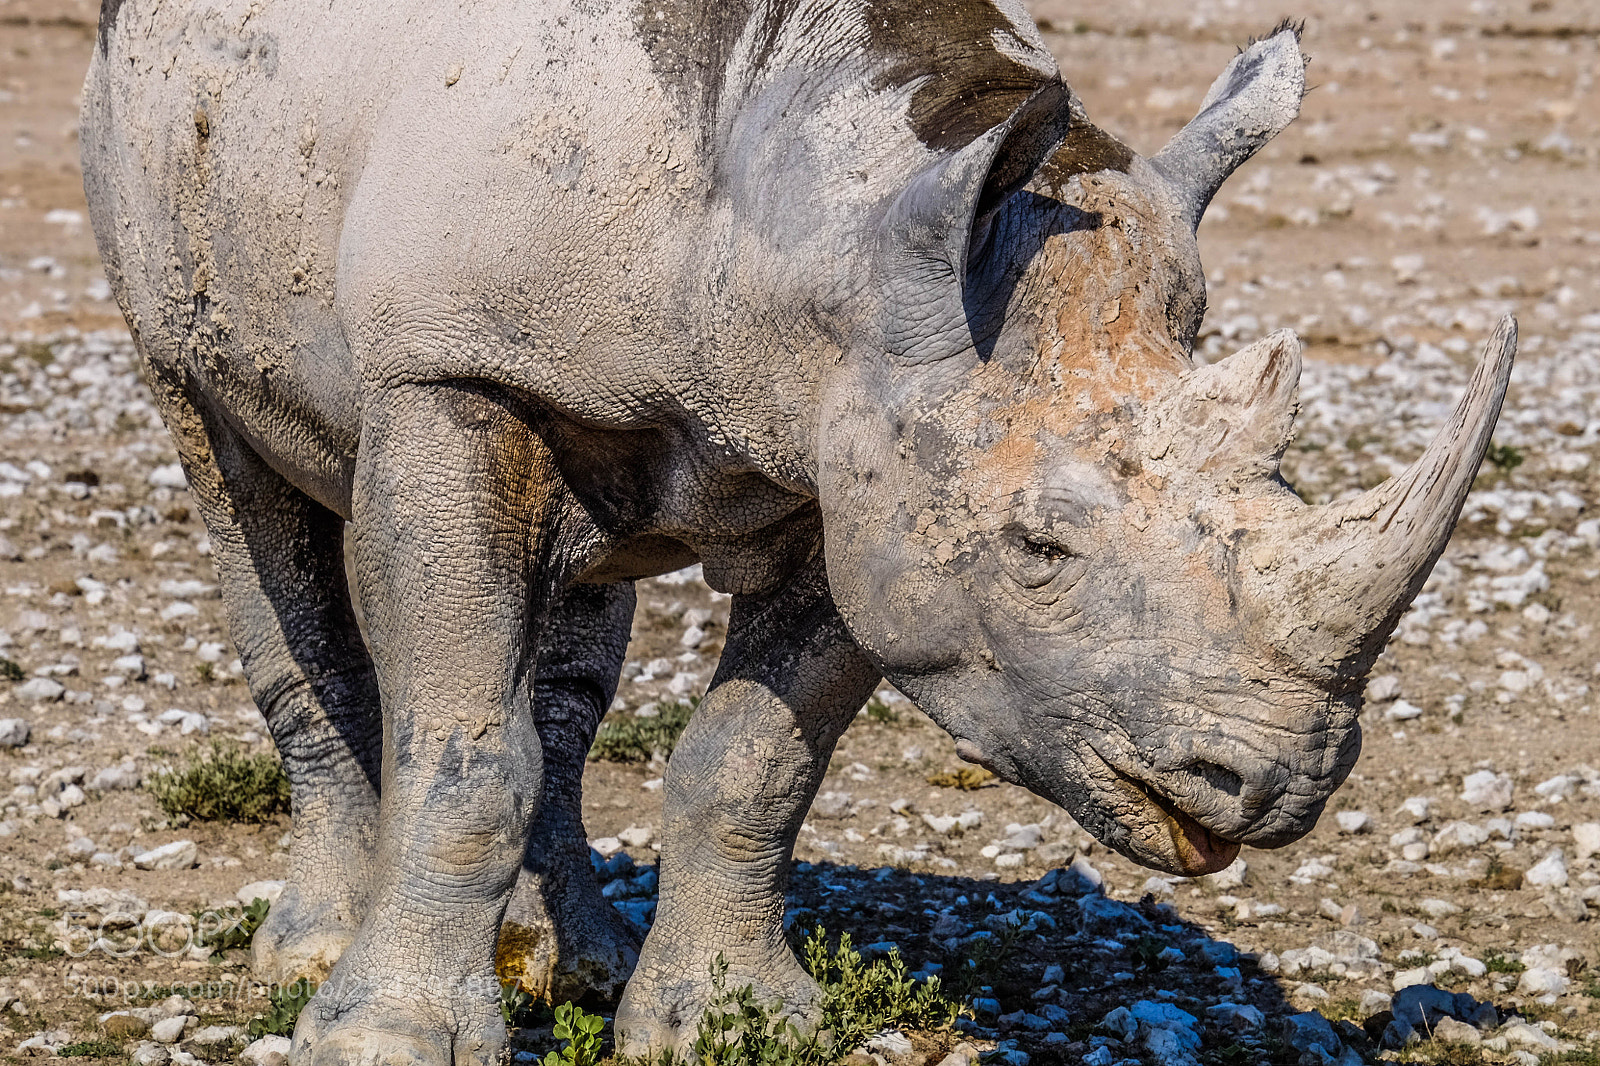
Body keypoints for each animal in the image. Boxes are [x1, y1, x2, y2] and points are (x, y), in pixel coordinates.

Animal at [81, 0, 1514, 1061]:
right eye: (1039, 553)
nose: (1280, 785)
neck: (831, 236)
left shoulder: (867, 468)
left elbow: (753, 758)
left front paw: (725, 1020)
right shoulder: (453, 371)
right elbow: (463, 744)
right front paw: (381, 1037)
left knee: (571, 653)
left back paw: (572, 966)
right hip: (159, 214)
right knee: (238, 487)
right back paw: (314, 953)